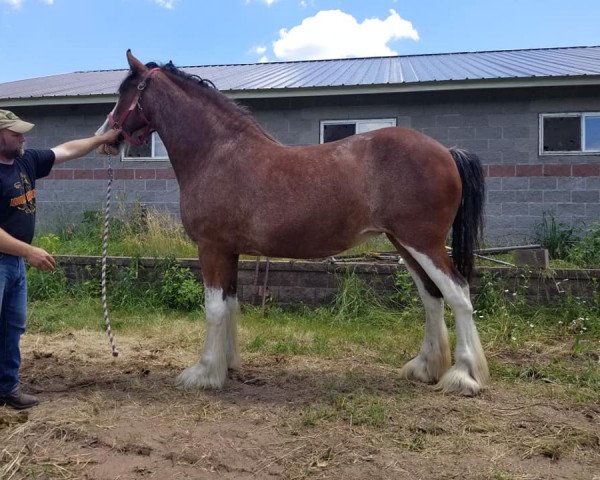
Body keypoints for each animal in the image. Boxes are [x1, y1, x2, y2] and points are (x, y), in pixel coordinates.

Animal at [98, 50, 490, 398]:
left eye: (125, 92)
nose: (106, 138)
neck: (218, 154)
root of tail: (446, 152)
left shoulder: (211, 247)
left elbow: (214, 309)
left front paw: (204, 373)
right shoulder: (229, 251)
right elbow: (230, 304)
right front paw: (227, 365)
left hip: (423, 242)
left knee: (458, 293)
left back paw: (463, 376)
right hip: (404, 243)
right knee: (431, 296)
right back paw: (425, 368)